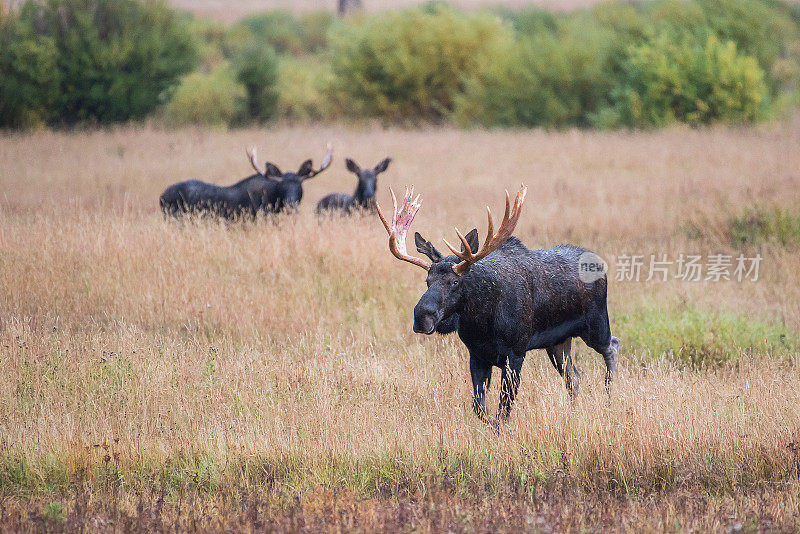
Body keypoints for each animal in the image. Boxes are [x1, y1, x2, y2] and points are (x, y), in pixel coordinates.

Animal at [376, 186, 620, 426]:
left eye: (455, 282)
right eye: (427, 280)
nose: (421, 317)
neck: (481, 321)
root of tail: (600, 265)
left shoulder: (515, 354)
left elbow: (504, 408)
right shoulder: (477, 354)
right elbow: (479, 406)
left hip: (596, 326)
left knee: (612, 346)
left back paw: (609, 398)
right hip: (558, 342)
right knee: (574, 377)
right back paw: (574, 412)